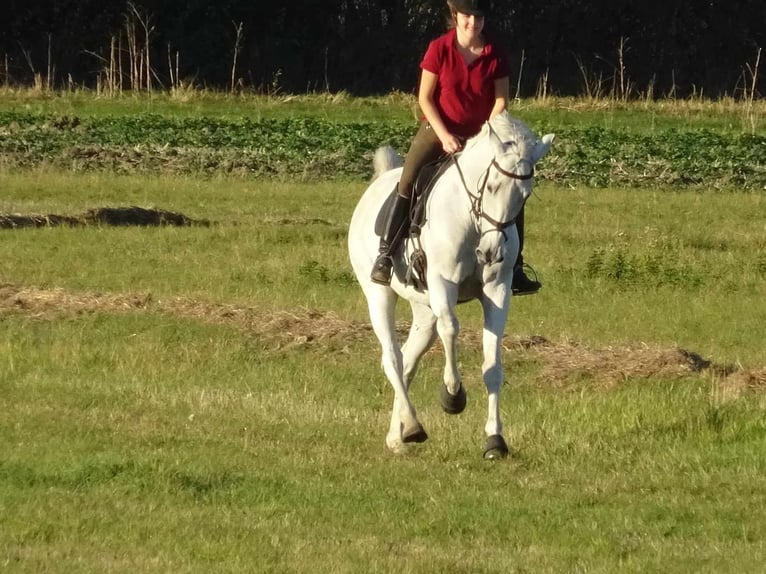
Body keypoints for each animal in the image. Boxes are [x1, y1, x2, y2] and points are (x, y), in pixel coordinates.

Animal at [350, 112, 560, 462]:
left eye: (525, 196)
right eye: (492, 185)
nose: (491, 252)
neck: (472, 221)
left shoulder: (497, 291)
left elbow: (493, 366)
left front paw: (495, 440)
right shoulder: (442, 281)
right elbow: (451, 328)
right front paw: (453, 396)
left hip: (423, 308)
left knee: (407, 361)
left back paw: (399, 435)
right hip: (378, 294)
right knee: (392, 358)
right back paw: (413, 427)